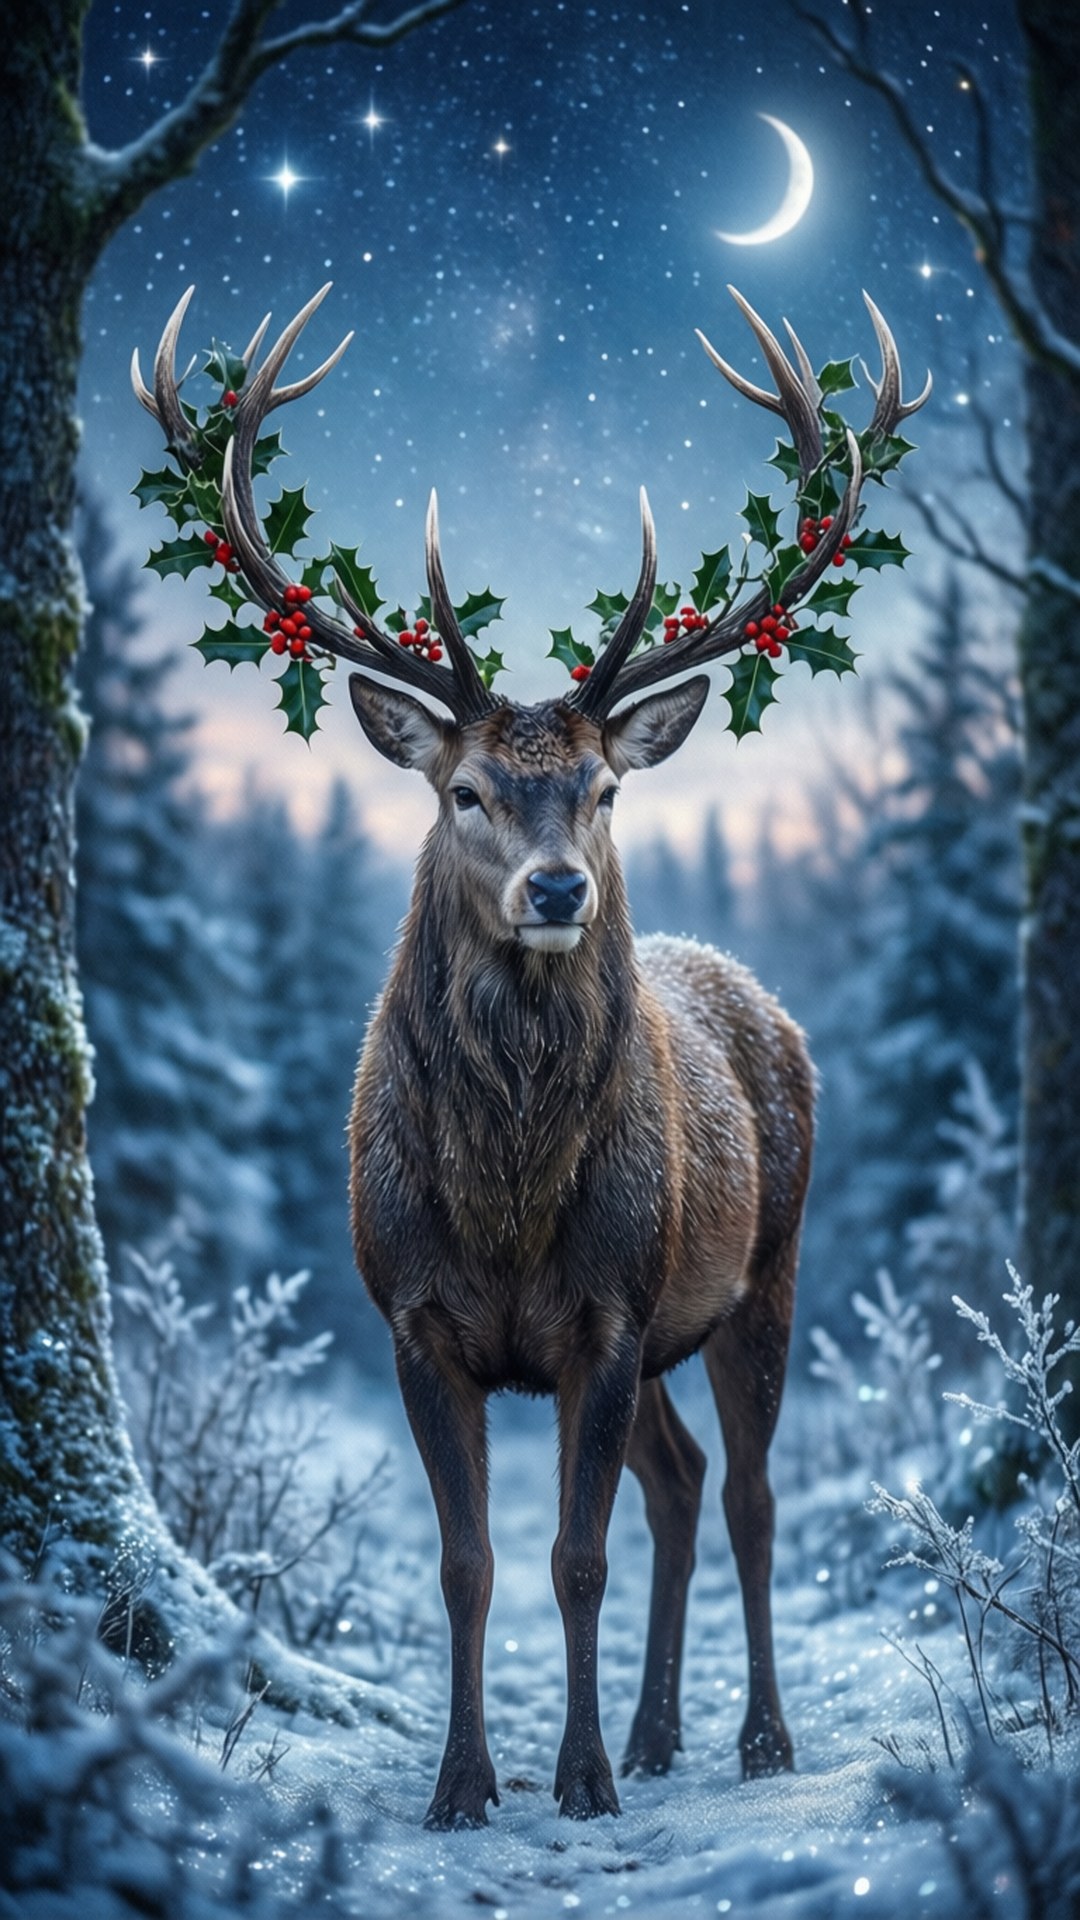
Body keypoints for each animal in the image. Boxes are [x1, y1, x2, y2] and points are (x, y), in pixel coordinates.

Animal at [134, 284, 929, 1828]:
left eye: (606, 788)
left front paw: (582, 1779)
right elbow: (471, 1565)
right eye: (466, 790)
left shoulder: (606, 1311)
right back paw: (669, 1730)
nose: (556, 888)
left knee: (746, 1495)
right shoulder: (414, 1317)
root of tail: (763, 1004)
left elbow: (576, 1558)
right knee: (681, 1480)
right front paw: (465, 1784)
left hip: (766, 1264)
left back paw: (755, 1738)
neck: (505, 1198)